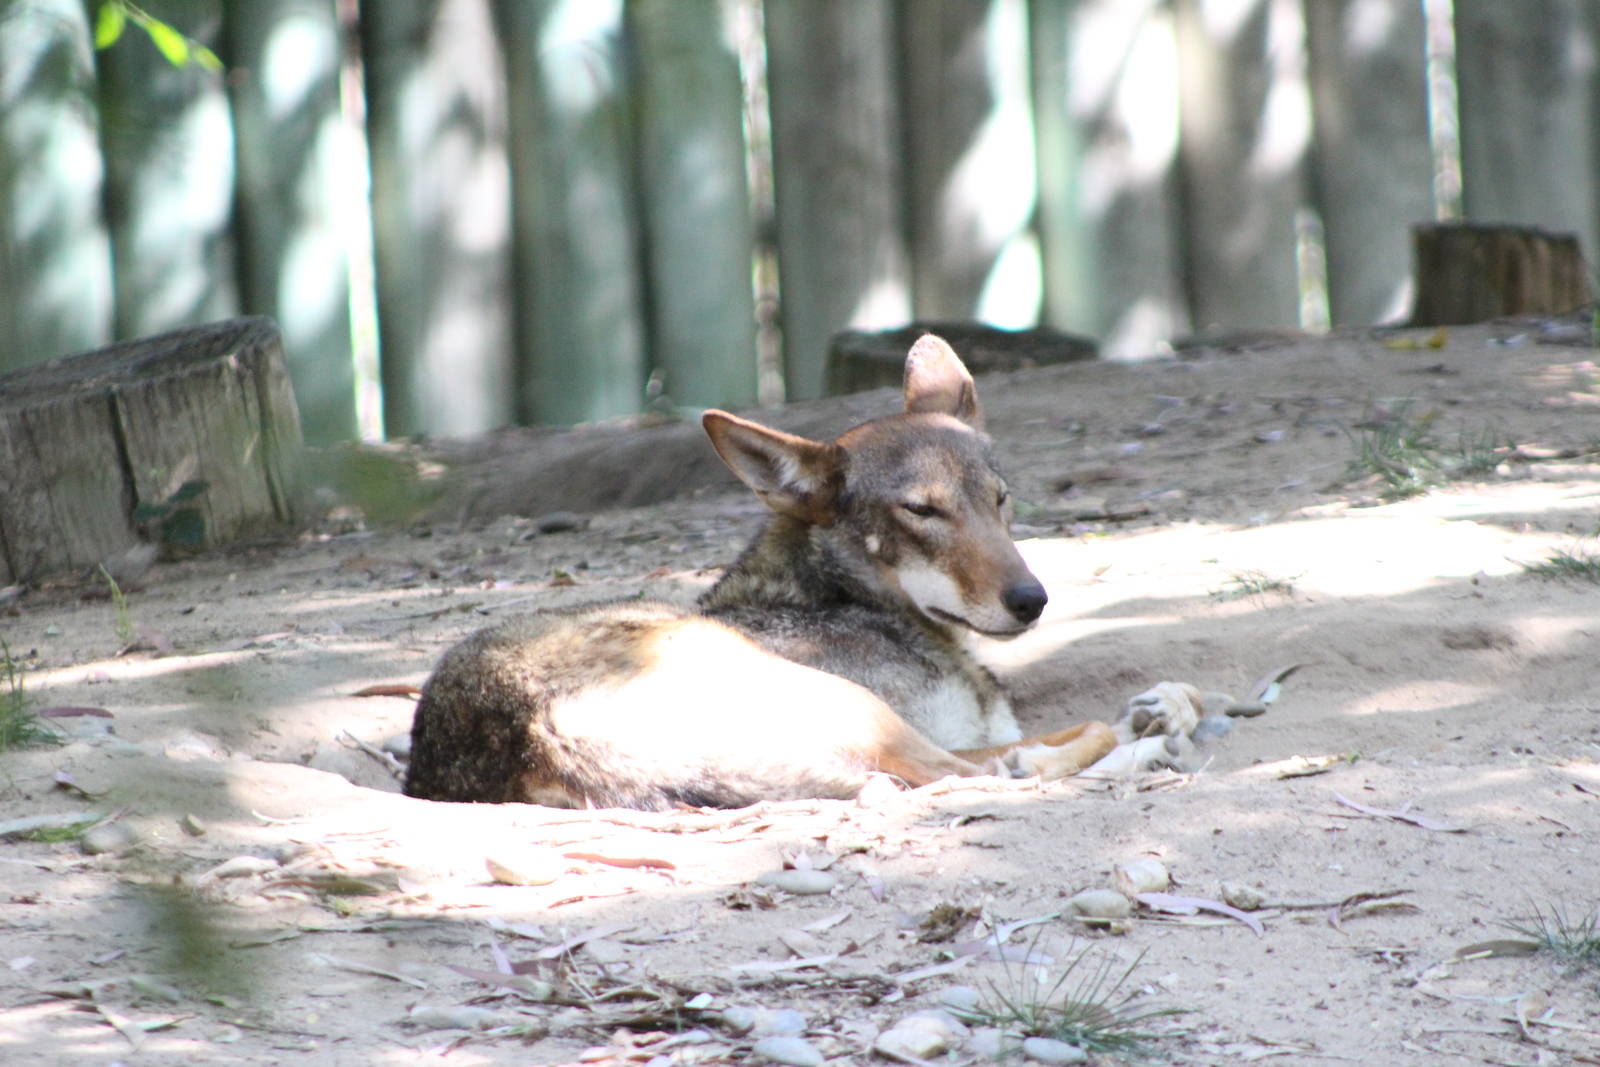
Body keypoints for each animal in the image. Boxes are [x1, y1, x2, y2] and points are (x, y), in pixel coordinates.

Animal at [403, 335, 1191, 810]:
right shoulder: (948, 733)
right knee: (982, 779)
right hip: (860, 713)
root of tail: (534, 735)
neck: (845, 601)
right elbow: (1067, 733)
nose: (1031, 600)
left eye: (999, 500)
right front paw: (1151, 728)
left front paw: (1163, 705)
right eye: (922, 511)